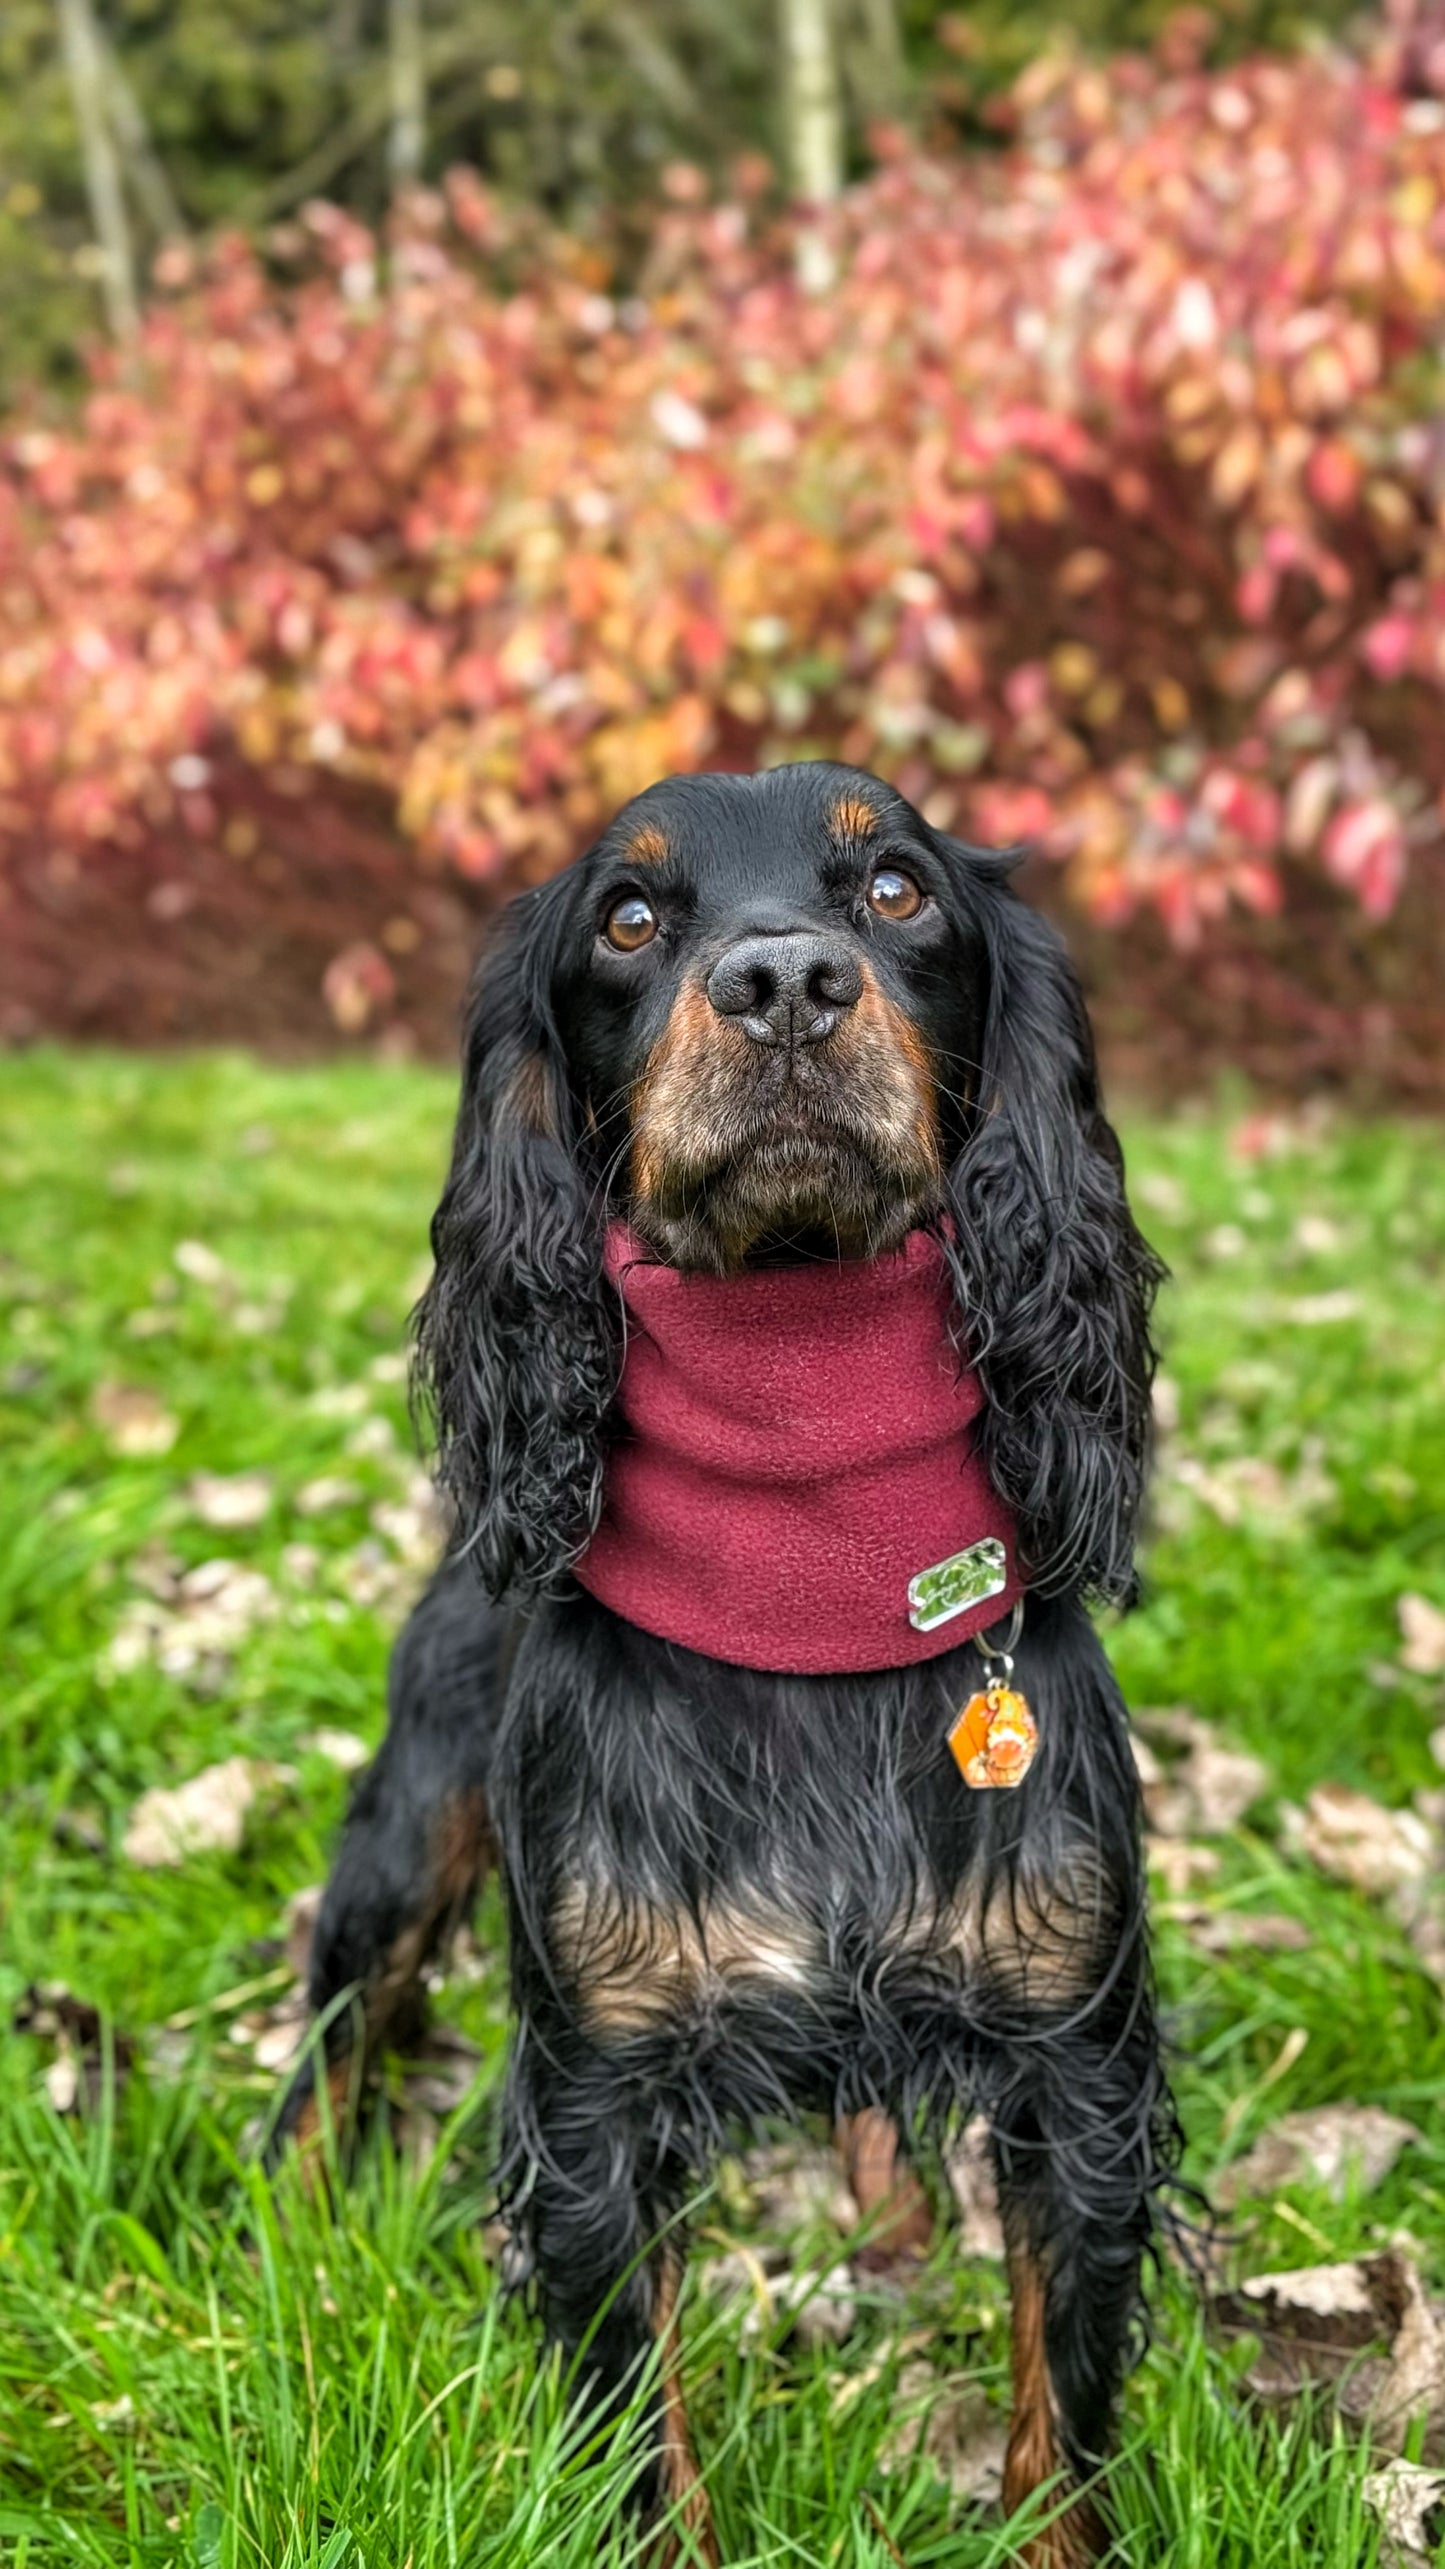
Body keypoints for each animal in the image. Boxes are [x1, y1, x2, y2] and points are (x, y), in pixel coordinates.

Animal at [275, 760, 1177, 2569]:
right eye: (627, 919)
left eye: (895, 889)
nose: (782, 984)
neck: (805, 1557)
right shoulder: (599, 2093)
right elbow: (645, 2436)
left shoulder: (1081, 2058)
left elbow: (1061, 2423)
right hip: (418, 1808)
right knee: (341, 2015)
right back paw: (284, 2219)